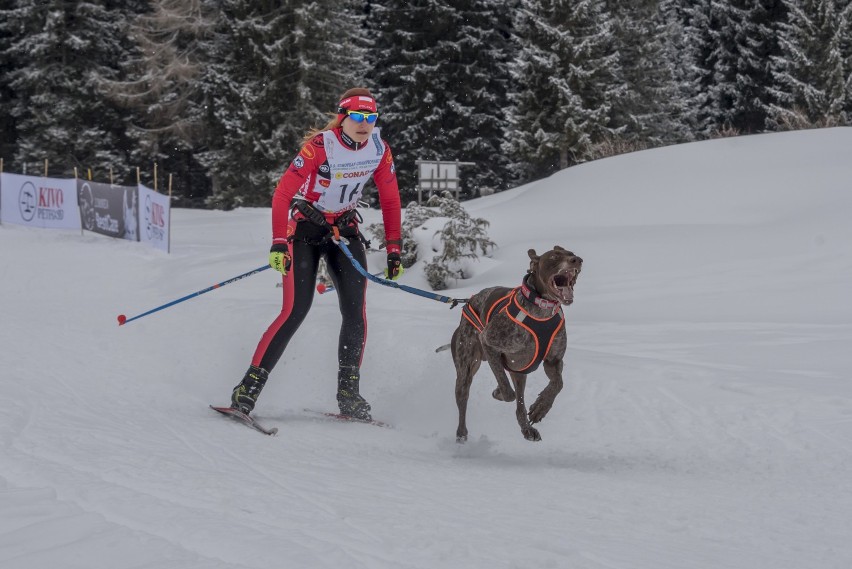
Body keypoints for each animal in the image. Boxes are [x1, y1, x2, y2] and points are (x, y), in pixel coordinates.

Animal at [450, 246, 584, 442]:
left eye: (571, 253)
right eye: (554, 256)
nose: (578, 260)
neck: (541, 311)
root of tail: (468, 302)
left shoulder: (553, 361)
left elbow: (558, 384)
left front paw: (540, 408)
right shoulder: (489, 342)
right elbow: (507, 392)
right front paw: (499, 392)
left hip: (520, 370)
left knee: (520, 405)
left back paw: (526, 428)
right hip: (466, 369)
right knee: (463, 399)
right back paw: (461, 433)